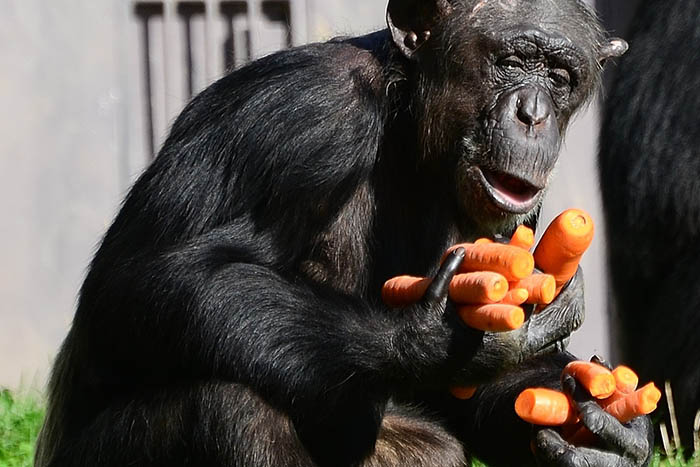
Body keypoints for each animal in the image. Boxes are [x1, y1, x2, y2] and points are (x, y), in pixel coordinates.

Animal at [37, 0, 652, 467]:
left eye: (559, 76)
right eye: (513, 61)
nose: (533, 112)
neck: (408, 122)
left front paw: (603, 434)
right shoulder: (302, 115)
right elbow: (146, 281)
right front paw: (430, 337)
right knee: (232, 407)